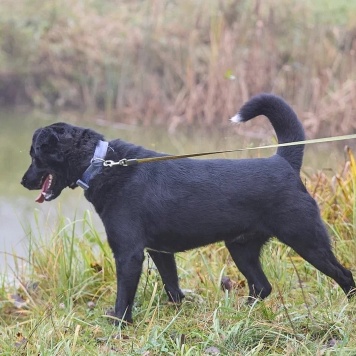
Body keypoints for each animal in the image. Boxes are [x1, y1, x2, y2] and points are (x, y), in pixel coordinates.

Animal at [22, 94, 356, 322]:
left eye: (36, 154)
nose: (24, 181)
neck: (101, 163)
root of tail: (284, 162)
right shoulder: (159, 251)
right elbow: (172, 287)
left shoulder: (129, 253)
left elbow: (124, 297)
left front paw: (119, 324)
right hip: (241, 248)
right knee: (262, 286)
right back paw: (239, 313)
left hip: (307, 240)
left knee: (344, 274)